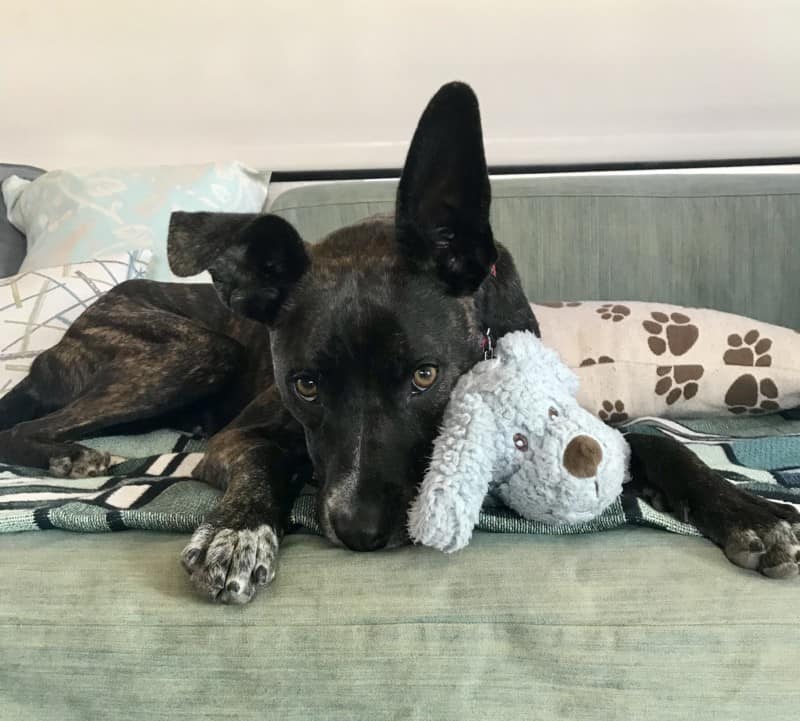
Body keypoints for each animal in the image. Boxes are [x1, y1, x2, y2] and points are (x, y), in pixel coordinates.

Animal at [1, 84, 800, 600]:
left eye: (424, 375)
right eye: (305, 384)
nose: (358, 529)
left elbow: (660, 443)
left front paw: (753, 514)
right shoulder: (238, 437)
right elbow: (262, 460)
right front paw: (238, 533)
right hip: (192, 352)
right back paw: (69, 456)